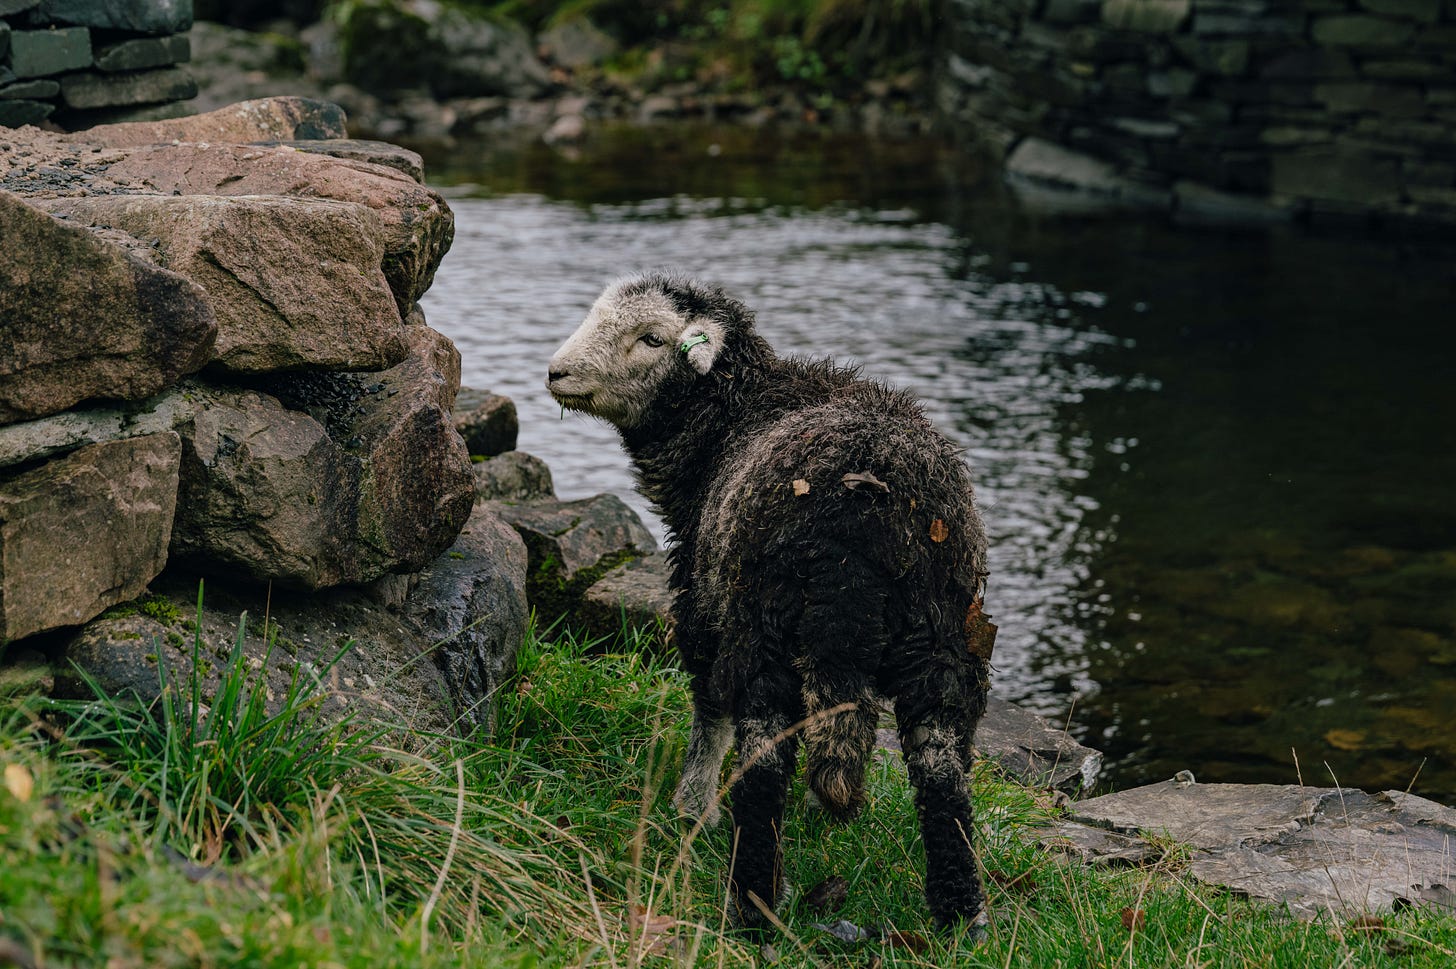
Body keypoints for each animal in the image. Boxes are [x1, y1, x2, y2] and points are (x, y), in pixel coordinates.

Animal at [546, 270, 995, 934]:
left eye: (652, 338)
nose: (557, 374)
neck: (731, 414)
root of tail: (860, 515)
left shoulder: (702, 593)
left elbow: (708, 702)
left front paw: (691, 806)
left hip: (765, 622)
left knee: (761, 761)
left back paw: (751, 905)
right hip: (940, 629)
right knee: (942, 767)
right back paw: (961, 916)